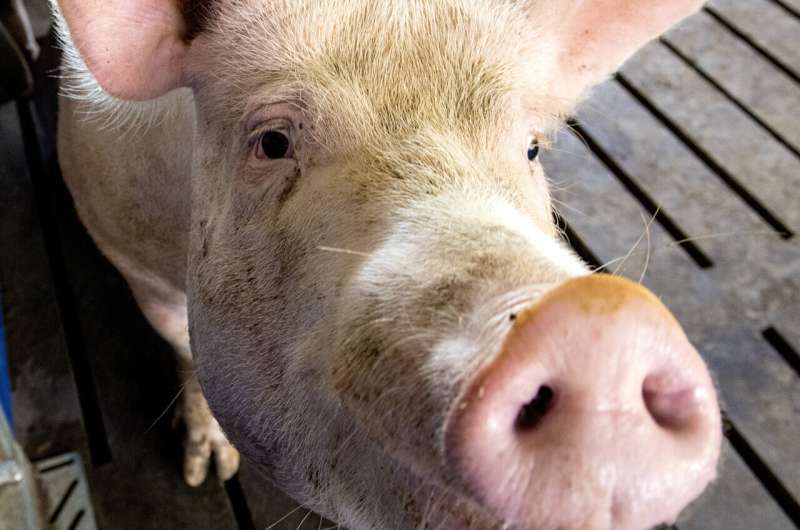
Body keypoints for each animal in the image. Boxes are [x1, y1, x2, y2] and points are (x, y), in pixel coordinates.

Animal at [53, 0, 722, 528]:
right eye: (272, 142)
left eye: (532, 148)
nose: (600, 330)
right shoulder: (127, 252)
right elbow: (182, 346)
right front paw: (207, 470)